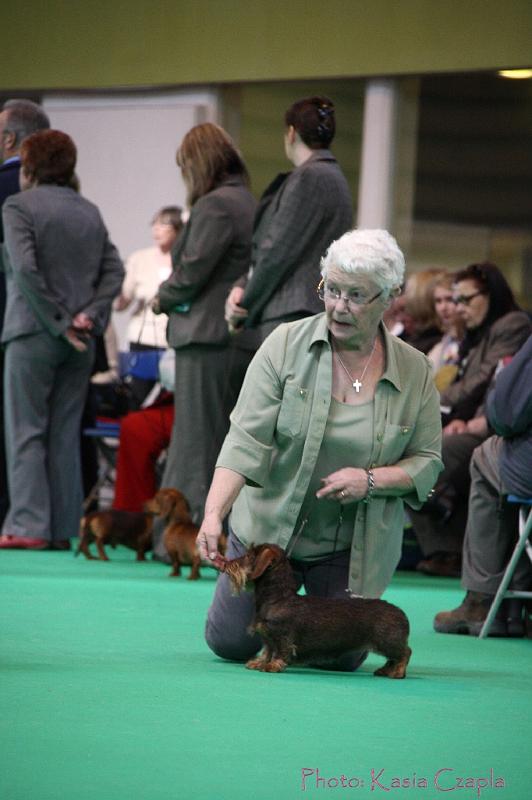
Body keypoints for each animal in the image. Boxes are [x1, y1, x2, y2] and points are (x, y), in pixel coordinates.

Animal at [220, 540, 412, 680]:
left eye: (248, 556)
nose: (226, 564)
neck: (278, 598)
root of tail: (402, 614)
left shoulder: (282, 636)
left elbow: (280, 652)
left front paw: (273, 665)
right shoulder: (267, 636)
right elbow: (267, 650)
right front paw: (259, 662)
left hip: (387, 642)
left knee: (405, 653)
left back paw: (397, 672)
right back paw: (386, 670)